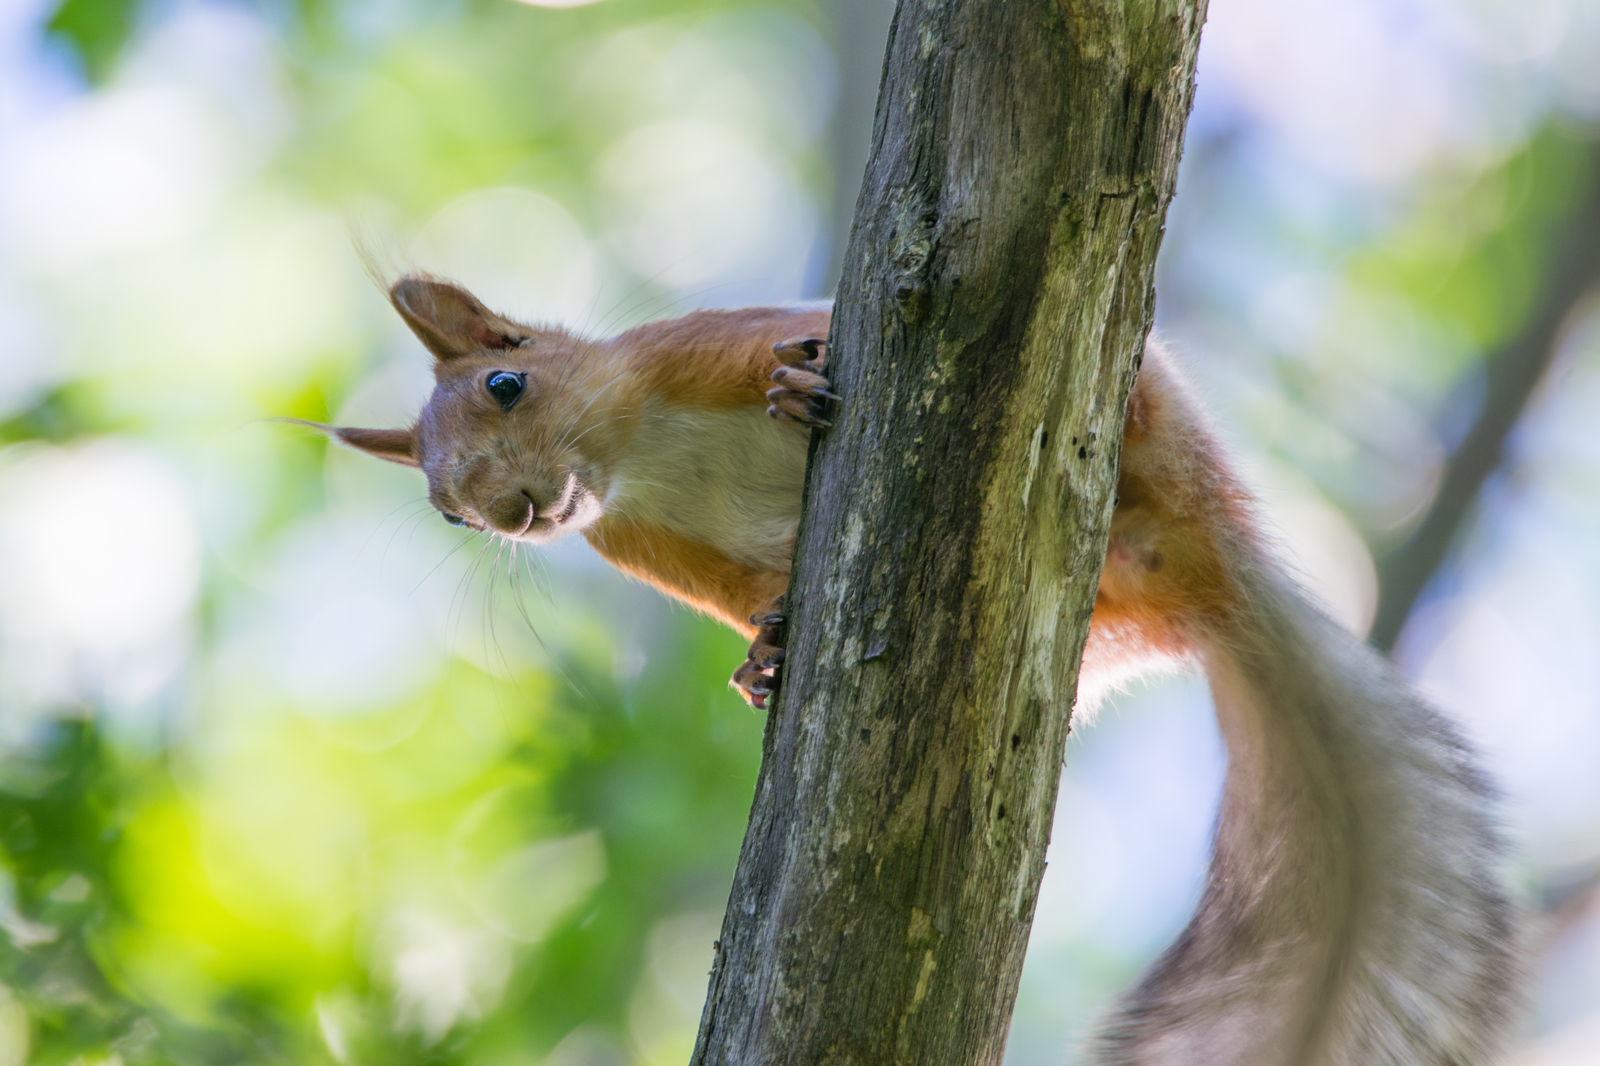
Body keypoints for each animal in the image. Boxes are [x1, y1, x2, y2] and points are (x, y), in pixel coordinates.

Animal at [308, 273, 1510, 1062]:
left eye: (508, 381)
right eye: (446, 510)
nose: (512, 510)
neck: (636, 458)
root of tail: (1219, 577)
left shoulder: (704, 348)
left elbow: (786, 339)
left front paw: (795, 386)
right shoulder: (666, 550)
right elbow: (753, 600)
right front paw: (762, 660)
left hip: (1169, 439)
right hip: (1109, 611)